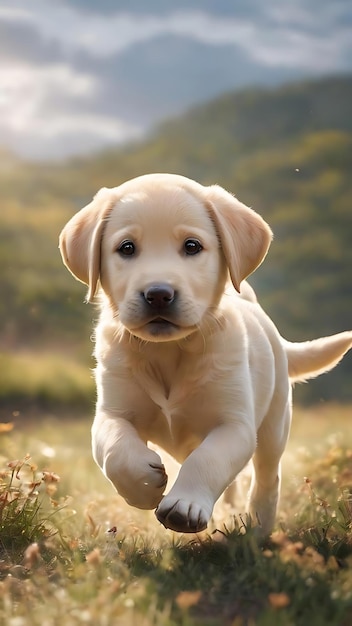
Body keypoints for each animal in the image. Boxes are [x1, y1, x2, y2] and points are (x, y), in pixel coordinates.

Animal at [59, 173, 350, 532]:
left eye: (192, 246)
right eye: (126, 248)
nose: (158, 294)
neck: (170, 351)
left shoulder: (235, 424)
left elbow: (208, 459)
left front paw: (184, 505)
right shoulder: (112, 411)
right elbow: (115, 449)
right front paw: (143, 484)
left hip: (275, 423)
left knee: (267, 476)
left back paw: (259, 527)